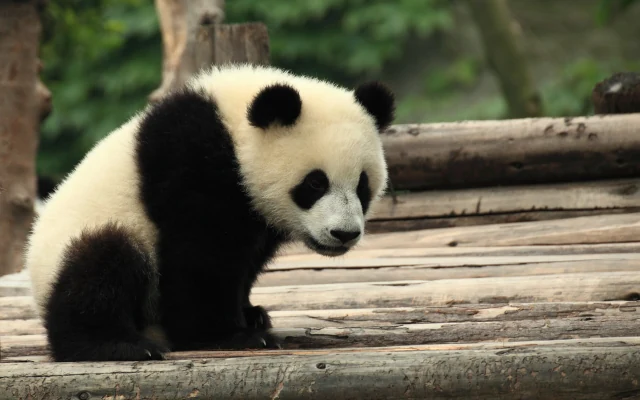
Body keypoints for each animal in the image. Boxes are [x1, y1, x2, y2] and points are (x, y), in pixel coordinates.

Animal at [25, 64, 394, 362]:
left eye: (362, 185)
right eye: (315, 183)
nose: (344, 233)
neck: (234, 129)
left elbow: (245, 259)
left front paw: (251, 314)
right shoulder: (191, 164)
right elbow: (201, 257)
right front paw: (232, 335)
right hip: (90, 239)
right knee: (102, 265)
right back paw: (117, 344)